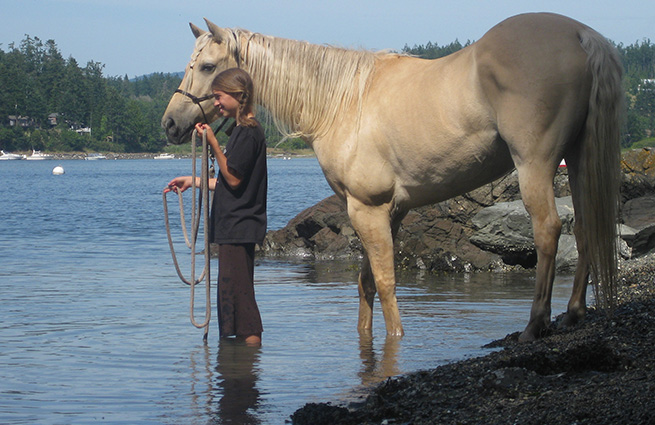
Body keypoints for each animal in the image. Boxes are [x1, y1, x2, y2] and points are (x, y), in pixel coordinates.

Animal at [161, 13, 624, 342]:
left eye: (207, 66)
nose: (171, 123)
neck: (341, 102)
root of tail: (579, 33)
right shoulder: (391, 211)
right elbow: (366, 282)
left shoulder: (366, 208)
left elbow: (384, 283)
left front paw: (395, 339)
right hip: (576, 159)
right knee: (585, 226)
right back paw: (574, 312)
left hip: (535, 163)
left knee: (548, 230)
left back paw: (535, 323)